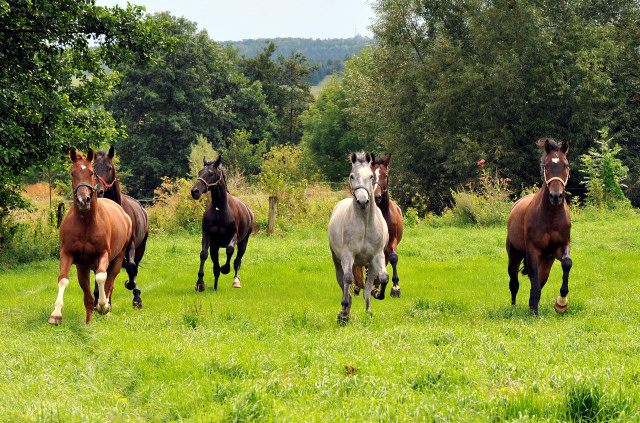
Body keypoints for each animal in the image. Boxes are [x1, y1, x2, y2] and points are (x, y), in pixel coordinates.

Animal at [49, 149, 132, 324]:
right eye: (72, 173)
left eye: (91, 172)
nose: (83, 200)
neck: (86, 223)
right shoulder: (68, 255)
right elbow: (63, 279)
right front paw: (56, 314)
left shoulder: (103, 255)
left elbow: (101, 278)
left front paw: (102, 306)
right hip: (83, 267)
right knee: (87, 297)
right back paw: (89, 322)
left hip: (117, 259)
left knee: (109, 283)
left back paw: (105, 310)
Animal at [93, 147, 149, 310]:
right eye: (93, 168)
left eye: (109, 168)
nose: (99, 191)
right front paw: (100, 300)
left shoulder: (130, 244)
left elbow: (131, 267)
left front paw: (134, 294)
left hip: (141, 247)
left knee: (134, 266)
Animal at [189, 156, 254, 292]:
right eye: (199, 172)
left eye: (211, 173)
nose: (195, 191)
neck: (219, 209)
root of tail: (249, 211)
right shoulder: (208, 237)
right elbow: (203, 255)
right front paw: (200, 283)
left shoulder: (233, 236)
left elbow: (229, 250)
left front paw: (225, 268)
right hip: (216, 246)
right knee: (216, 266)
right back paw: (215, 286)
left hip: (244, 241)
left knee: (237, 260)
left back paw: (236, 281)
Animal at [330, 152, 390, 324]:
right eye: (352, 176)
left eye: (370, 176)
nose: (363, 201)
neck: (364, 222)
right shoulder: (347, 255)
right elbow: (348, 279)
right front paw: (343, 312)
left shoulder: (377, 256)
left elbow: (384, 277)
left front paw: (378, 295)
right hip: (337, 259)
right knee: (342, 281)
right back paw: (346, 310)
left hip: (370, 264)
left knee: (367, 287)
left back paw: (368, 311)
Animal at [508, 137, 572, 316]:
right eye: (546, 166)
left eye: (566, 165)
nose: (556, 196)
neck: (551, 216)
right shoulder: (533, 250)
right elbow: (533, 280)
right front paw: (534, 313)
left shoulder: (560, 247)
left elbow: (567, 263)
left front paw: (561, 302)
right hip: (514, 255)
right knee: (514, 282)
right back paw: (514, 307)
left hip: (547, 260)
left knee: (538, 281)